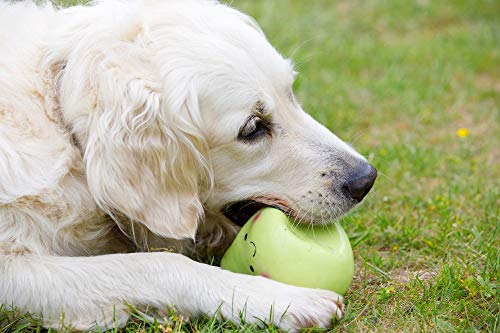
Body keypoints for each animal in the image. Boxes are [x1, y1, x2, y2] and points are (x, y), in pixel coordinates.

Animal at [0, 0, 376, 330]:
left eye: (291, 93)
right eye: (253, 128)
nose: (366, 180)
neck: (56, 113)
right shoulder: (11, 275)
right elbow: (159, 263)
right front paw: (280, 299)